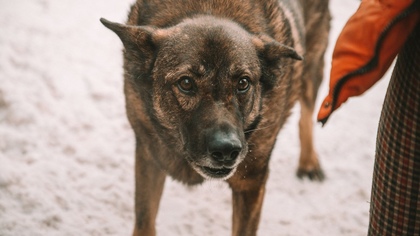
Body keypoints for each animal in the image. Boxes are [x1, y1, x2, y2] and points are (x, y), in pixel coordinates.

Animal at [101, 0, 328, 234]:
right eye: (186, 83)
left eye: (243, 83)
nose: (227, 150)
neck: (209, 9)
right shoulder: (149, 154)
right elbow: (144, 221)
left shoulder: (250, 181)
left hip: (312, 67)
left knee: (308, 113)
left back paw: (309, 162)